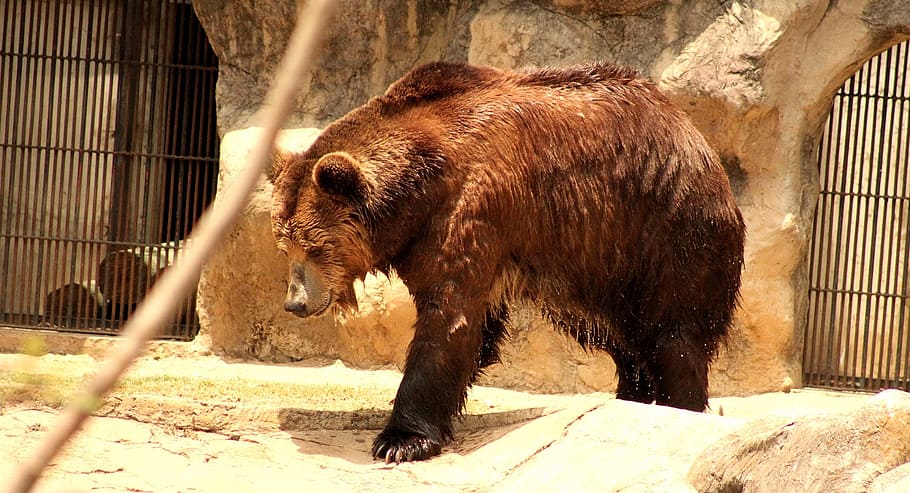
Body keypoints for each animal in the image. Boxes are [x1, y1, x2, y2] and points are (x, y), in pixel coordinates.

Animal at [269, 61, 746, 464]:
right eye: (284, 244)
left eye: (316, 247)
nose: (295, 302)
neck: (418, 188)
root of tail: (693, 133)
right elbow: (476, 325)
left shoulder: (473, 206)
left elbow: (449, 318)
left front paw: (399, 440)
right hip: (590, 265)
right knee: (616, 332)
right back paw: (631, 394)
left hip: (665, 230)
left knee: (674, 332)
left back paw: (680, 404)